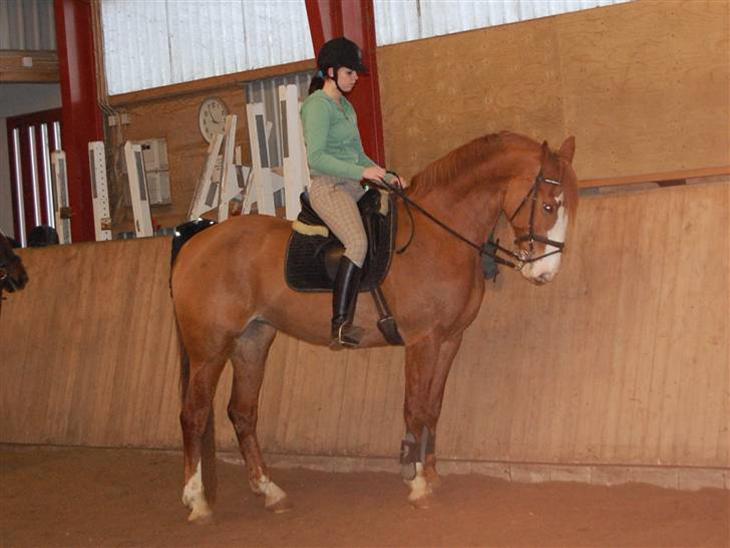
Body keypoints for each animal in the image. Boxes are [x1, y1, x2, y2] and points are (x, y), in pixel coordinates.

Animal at [170, 131, 578, 522]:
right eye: (548, 205)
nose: (545, 273)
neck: (438, 236)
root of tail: (199, 241)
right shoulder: (422, 341)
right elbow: (415, 409)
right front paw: (417, 484)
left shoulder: (450, 341)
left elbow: (433, 408)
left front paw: (431, 475)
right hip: (210, 349)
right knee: (194, 414)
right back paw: (196, 501)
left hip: (252, 342)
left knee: (242, 413)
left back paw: (269, 492)